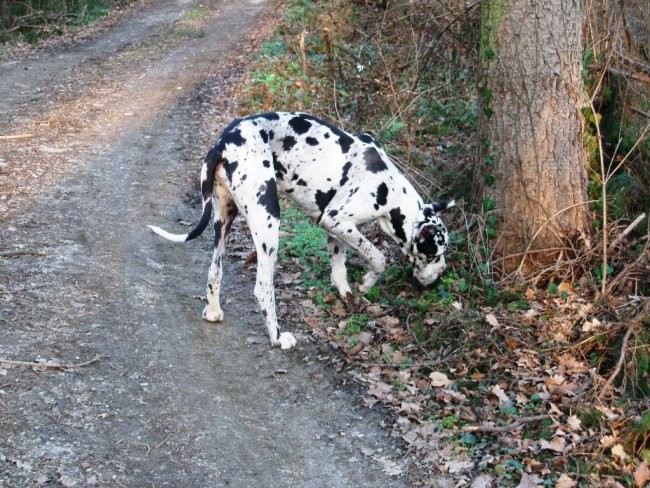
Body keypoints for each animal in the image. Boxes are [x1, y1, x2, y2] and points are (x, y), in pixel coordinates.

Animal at [147, 113, 454, 350]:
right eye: (433, 253)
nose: (441, 274)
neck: (390, 189)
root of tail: (222, 143)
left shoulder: (334, 227)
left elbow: (339, 268)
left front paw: (348, 295)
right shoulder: (338, 219)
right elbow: (378, 257)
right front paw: (366, 283)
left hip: (223, 220)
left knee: (215, 270)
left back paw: (212, 312)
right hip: (269, 222)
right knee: (262, 287)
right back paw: (277, 337)